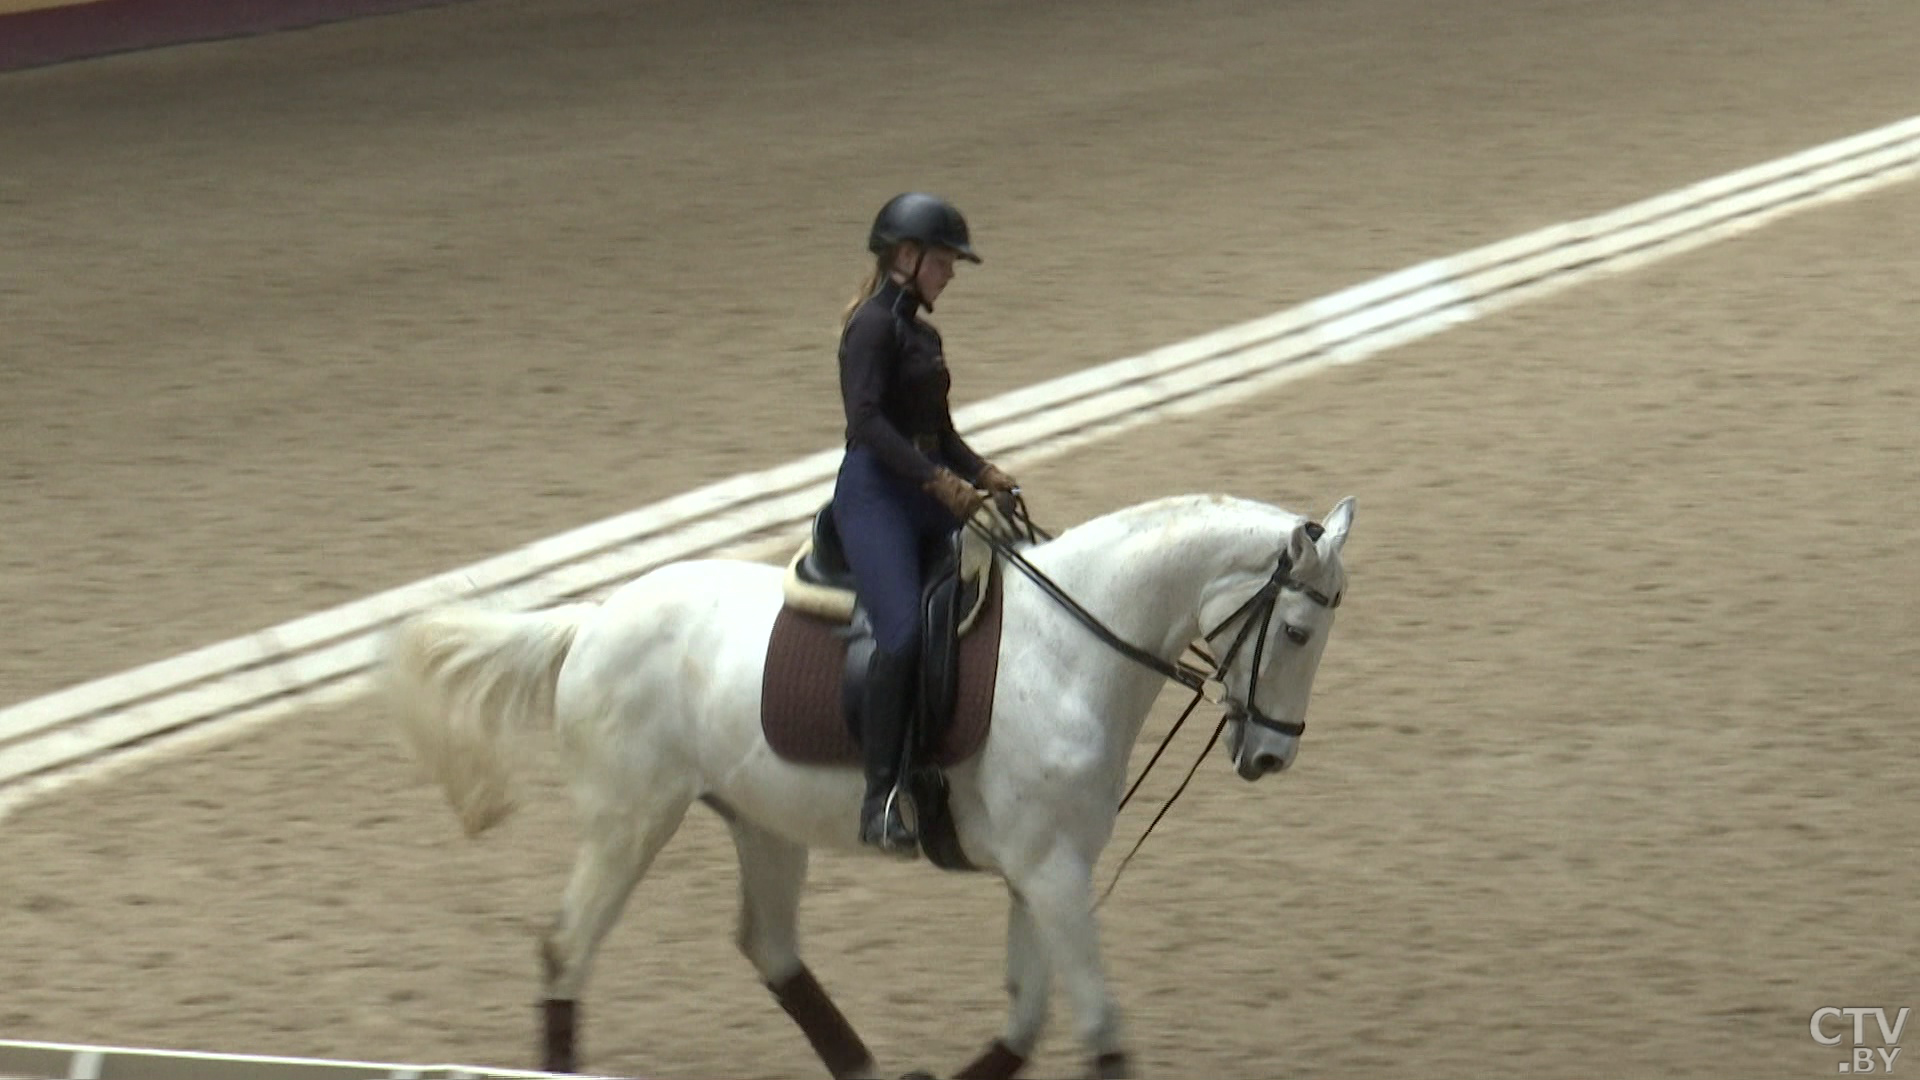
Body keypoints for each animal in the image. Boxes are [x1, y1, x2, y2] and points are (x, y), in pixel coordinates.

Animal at [382, 490, 1359, 1076]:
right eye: (1298, 631)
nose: (1272, 757)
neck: (1069, 649)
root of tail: (589, 622)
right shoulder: (1051, 873)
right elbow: (1098, 1030)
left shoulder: (1043, 872)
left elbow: (1025, 1020)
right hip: (630, 820)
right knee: (565, 953)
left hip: (761, 822)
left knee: (770, 949)